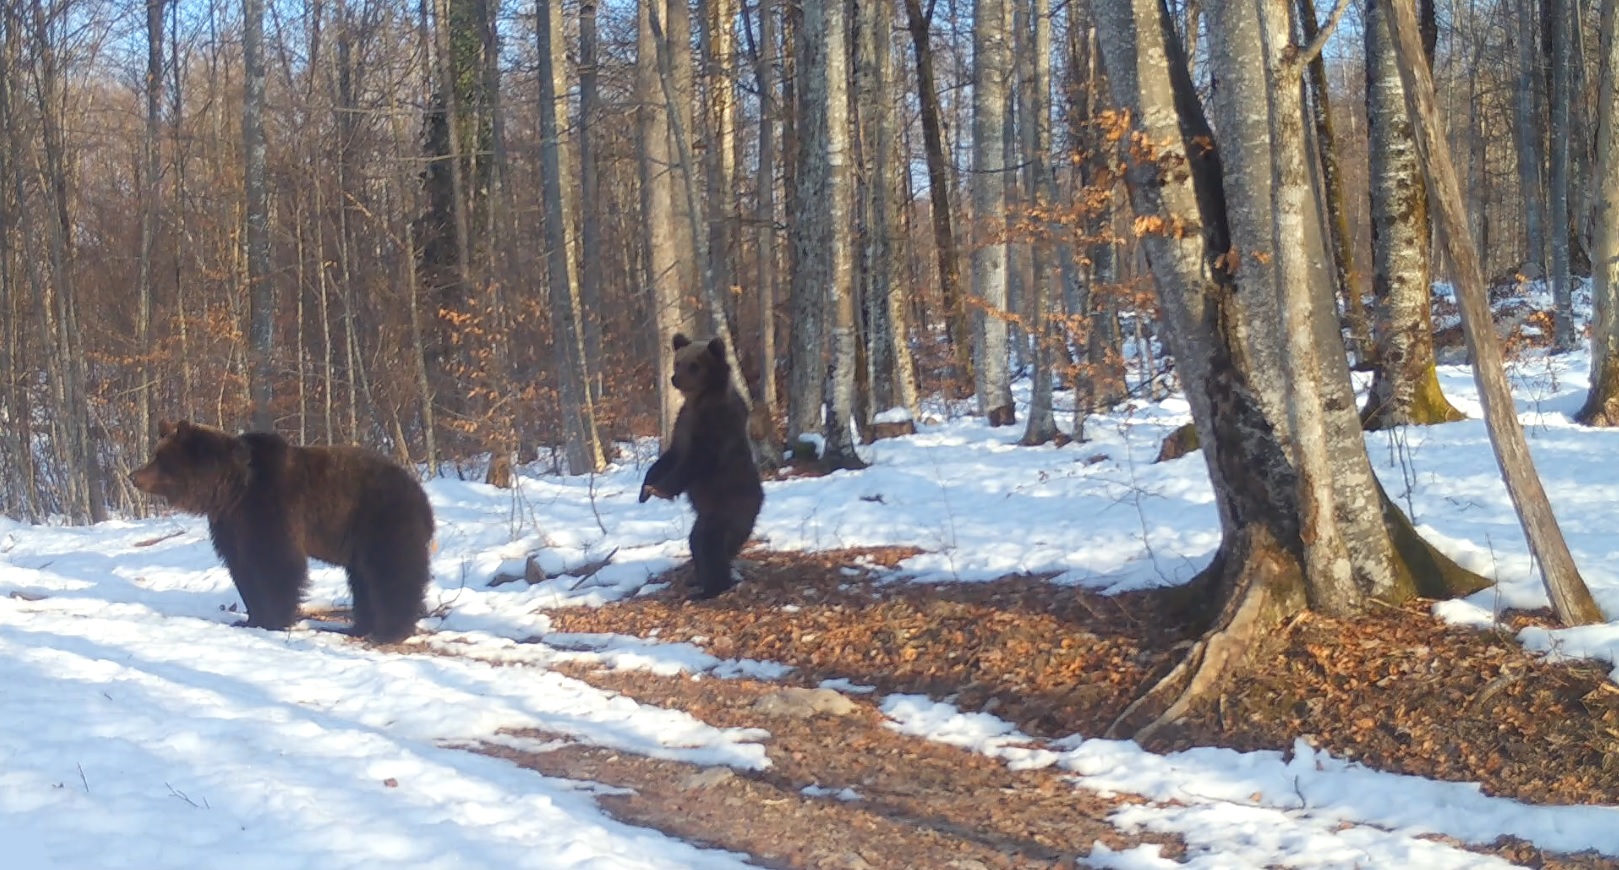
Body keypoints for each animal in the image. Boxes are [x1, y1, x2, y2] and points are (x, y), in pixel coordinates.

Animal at [131, 421, 437, 644]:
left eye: (160, 457)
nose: (134, 475)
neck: (233, 488)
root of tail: (421, 495)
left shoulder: (271, 509)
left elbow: (276, 565)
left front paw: (275, 619)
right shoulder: (232, 524)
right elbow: (243, 568)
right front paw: (250, 618)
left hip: (382, 521)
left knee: (391, 574)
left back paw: (389, 631)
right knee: (363, 579)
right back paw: (358, 626)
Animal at [637, 332, 764, 596]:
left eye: (695, 365)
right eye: (678, 362)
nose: (675, 378)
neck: (700, 400)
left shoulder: (715, 426)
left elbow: (694, 463)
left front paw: (660, 490)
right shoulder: (683, 425)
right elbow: (669, 457)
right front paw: (644, 490)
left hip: (728, 507)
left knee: (709, 543)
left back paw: (710, 588)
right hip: (708, 513)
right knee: (697, 541)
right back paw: (698, 578)